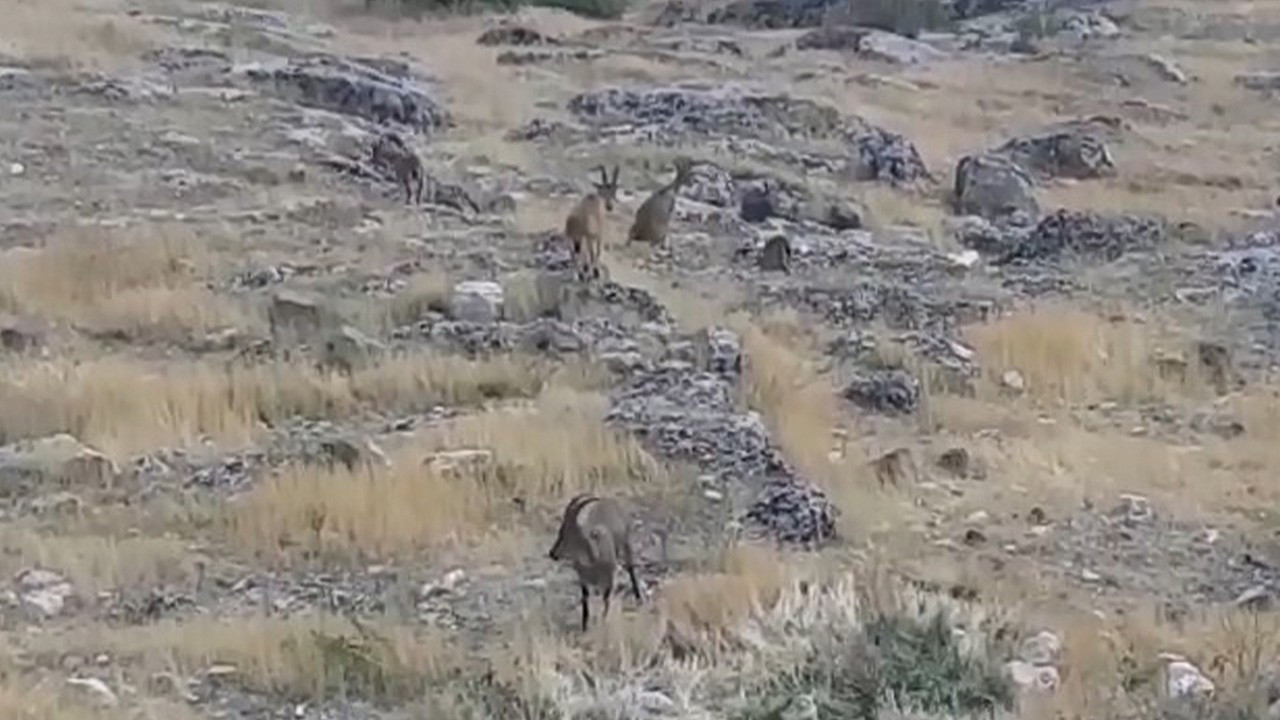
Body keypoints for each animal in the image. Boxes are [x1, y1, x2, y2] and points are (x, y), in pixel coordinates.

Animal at [545, 489, 640, 625]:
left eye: (565, 534)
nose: (552, 553)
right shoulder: (583, 580)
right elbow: (585, 601)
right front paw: (585, 625)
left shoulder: (609, 578)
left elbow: (606, 600)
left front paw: (603, 621)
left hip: (626, 543)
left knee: (631, 568)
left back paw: (638, 597)